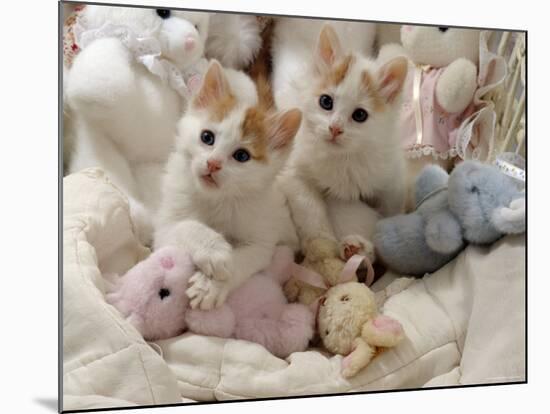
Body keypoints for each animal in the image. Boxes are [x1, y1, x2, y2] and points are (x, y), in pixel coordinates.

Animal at [65, 6, 211, 244]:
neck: (156, 65)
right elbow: (97, 87)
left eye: (197, 27)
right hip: (100, 154)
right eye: (163, 12)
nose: (191, 41)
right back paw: (136, 217)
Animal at [154, 61, 302, 310]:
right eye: (207, 137)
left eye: (242, 156)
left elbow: (244, 259)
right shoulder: (164, 227)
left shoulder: (262, 238)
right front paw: (215, 250)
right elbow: (186, 226)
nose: (213, 164)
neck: (217, 198)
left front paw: (211, 286)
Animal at [276, 24, 410, 260]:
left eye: (360, 115)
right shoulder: (293, 171)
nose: (335, 129)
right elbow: (311, 212)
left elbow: (391, 210)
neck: (343, 158)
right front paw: (323, 245)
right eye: (326, 102)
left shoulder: (392, 174)